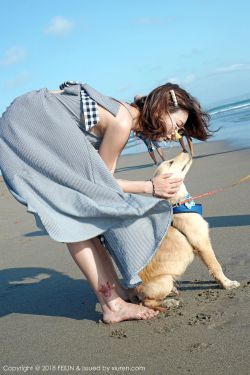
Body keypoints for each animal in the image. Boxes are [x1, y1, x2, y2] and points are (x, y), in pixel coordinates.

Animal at [134, 152, 239, 312]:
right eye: (170, 163)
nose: (185, 151)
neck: (179, 204)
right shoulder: (202, 245)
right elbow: (216, 266)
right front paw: (227, 284)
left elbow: (212, 269)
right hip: (164, 280)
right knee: (147, 303)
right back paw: (169, 302)